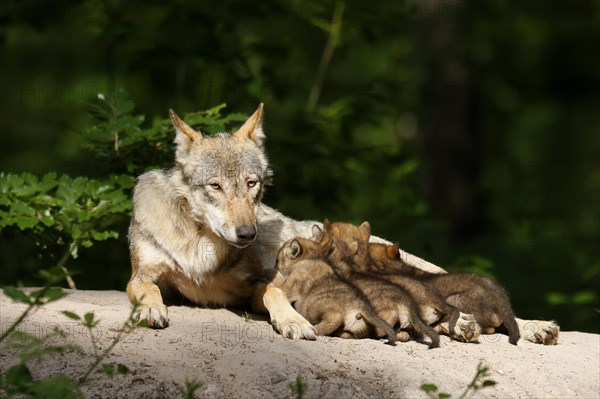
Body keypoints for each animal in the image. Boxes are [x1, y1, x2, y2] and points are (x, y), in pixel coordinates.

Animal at [127, 104, 564, 346]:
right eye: (215, 186)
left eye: (251, 185)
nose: (248, 234)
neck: (201, 247)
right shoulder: (142, 274)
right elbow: (147, 289)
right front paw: (151, 310)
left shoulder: (255, 286)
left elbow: (275, 294)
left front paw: (294, 322)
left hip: (423, 265)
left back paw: (534, 327)